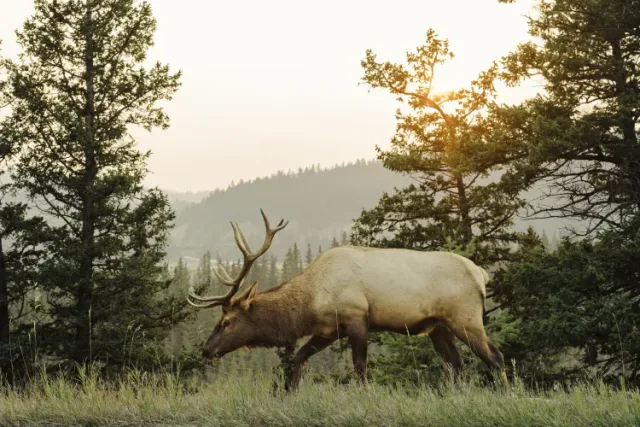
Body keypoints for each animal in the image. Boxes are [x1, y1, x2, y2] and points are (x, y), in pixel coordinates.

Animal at [188, 210, 507, 391]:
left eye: (226, 321)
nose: (206, 350)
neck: (311, 302)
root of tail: (481, 274)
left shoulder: (357, 318)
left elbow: (360, 367)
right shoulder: (329, 330)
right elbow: (298, 361)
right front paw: (286, 393)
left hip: (465, 317)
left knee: (495, 357)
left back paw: (505, 392)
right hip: (437, 326)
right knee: (456, 365)